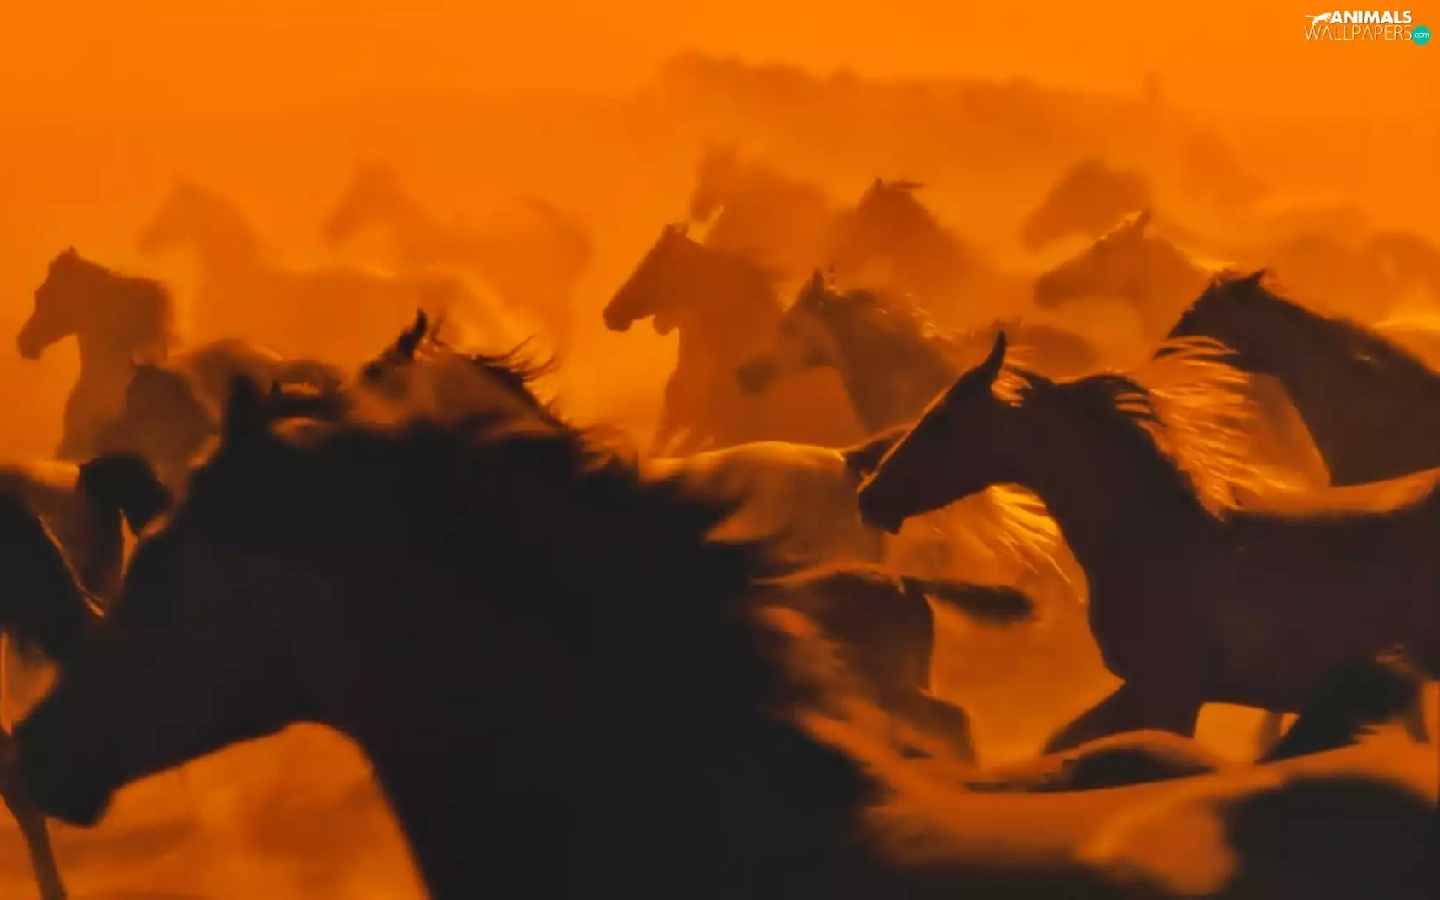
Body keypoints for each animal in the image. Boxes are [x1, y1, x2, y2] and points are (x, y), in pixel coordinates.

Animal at [857, 331, 1440, 756]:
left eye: (943, 422)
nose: (870, 496)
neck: (1153, 534)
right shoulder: (1147, 690)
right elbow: (1062, 743)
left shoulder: (1170, 693)